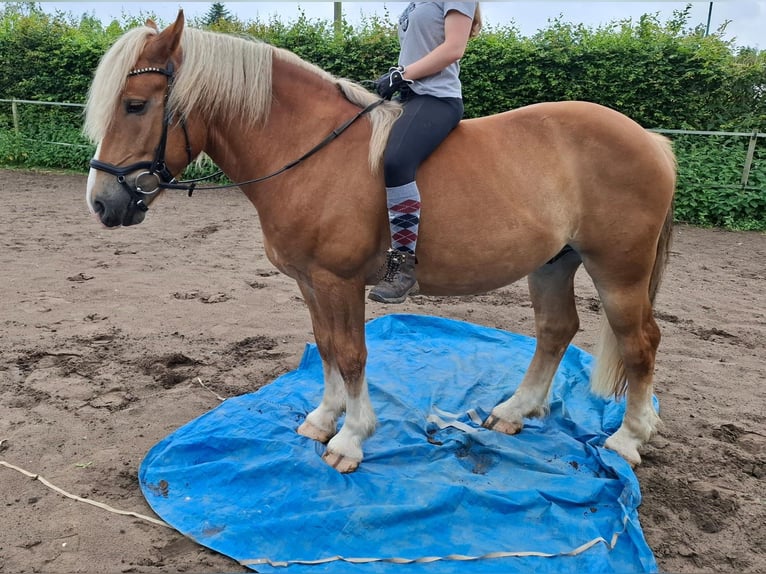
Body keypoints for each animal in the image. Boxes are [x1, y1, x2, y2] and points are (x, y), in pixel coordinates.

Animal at [85, 11, 680, 474]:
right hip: (555, 262)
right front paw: (321, 421)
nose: (102, 203)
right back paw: (514, 413)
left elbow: (351, 354)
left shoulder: (339, 281)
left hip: (618, 270)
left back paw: (627, 438)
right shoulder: (310, 282)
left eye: (135, 104)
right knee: (557, 330)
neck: (311, 152)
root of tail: (649, 139)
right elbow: (325, 346)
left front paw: (350, 439)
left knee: (640, 343)